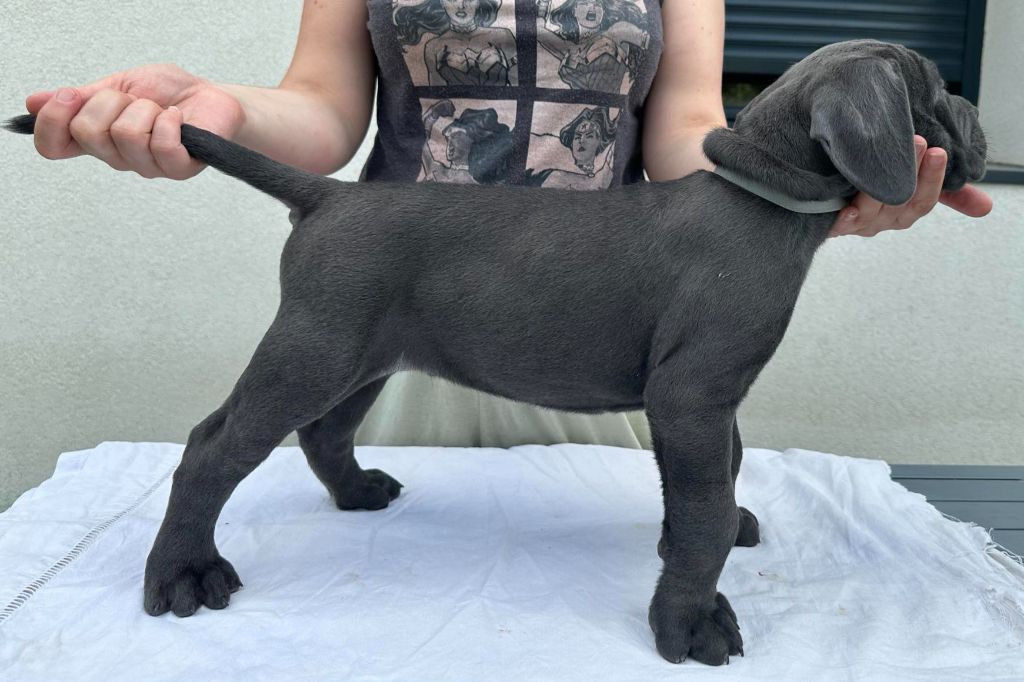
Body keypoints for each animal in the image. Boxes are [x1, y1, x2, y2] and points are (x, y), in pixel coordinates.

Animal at [6, 40, 987, 665]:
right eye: (935, 90)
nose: (978, 111)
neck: (762, 200)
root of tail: (328, 196)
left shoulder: (711, 400)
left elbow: (713, 487)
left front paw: (699, 549)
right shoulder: (693, 393)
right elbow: (704, 513)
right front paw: (692, 622)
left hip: (364, 349)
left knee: (324, 432)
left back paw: (357, 493)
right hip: (314, 346)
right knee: (214, 447)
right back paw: (183, 572)